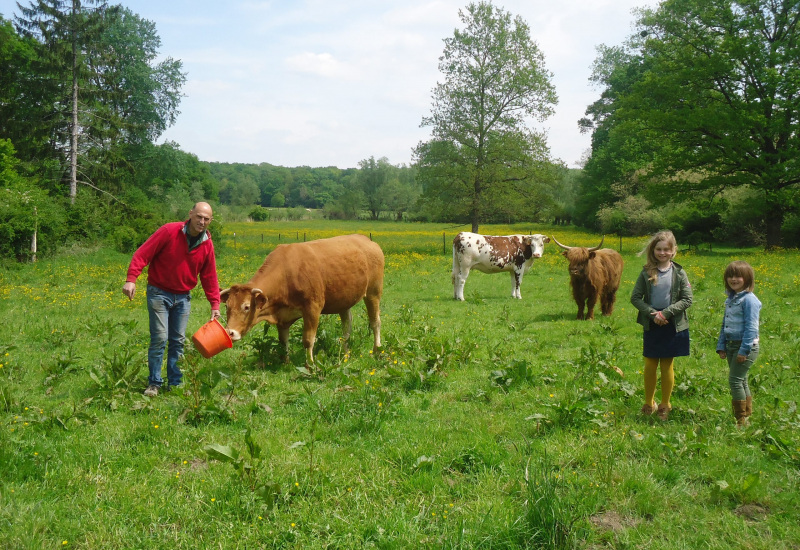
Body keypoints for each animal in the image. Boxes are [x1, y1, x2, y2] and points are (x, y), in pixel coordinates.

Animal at [217, 234, 382, 366]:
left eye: (246, 307)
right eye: (227, 307)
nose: (230, 332)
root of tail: (366, 239)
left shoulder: (313, 308)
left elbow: (308, 340)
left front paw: (310, 365)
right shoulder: (282, 316)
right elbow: (283, 340)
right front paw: (286, 362)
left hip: (373, 292)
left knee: (375, 322)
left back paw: (376, 350)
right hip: (344, 300)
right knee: (346, 327)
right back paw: (345, 353)